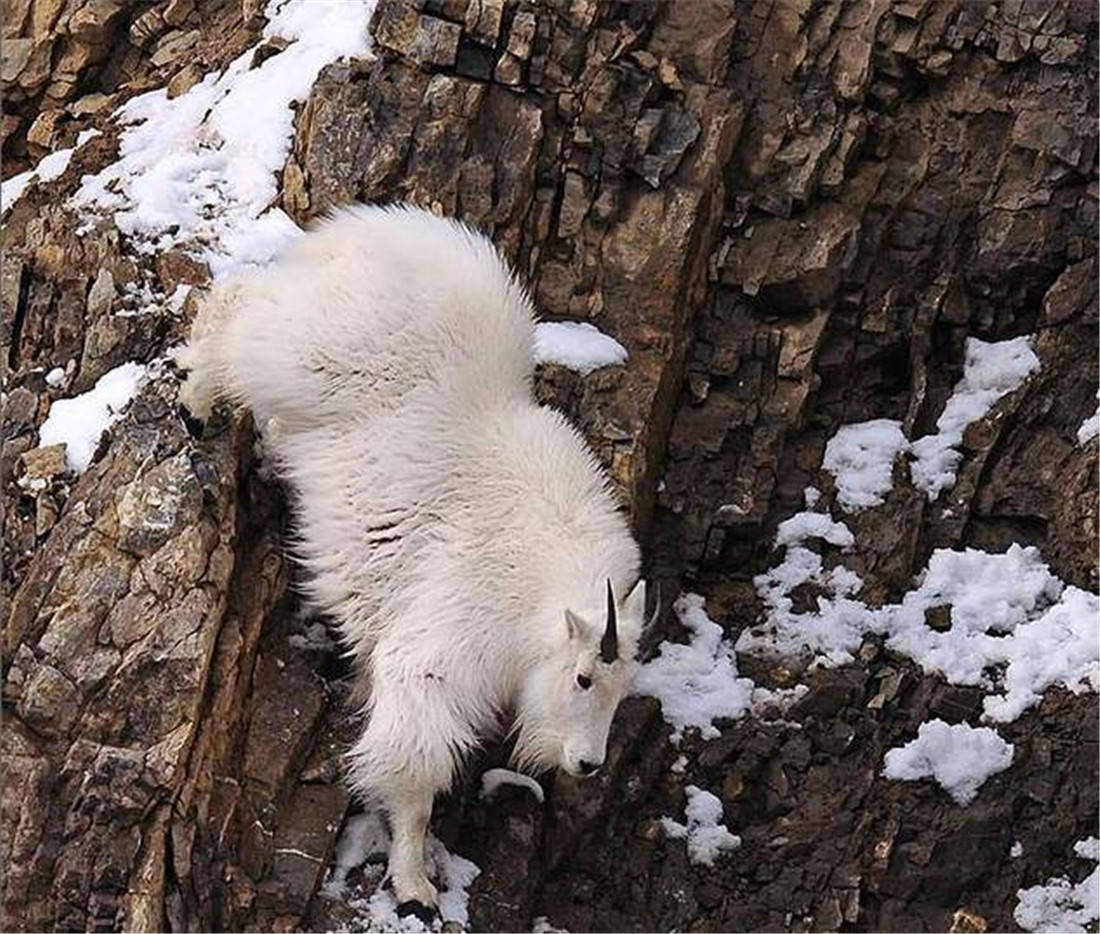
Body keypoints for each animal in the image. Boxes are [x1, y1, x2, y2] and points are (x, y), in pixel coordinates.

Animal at [172, 205, 651, 919]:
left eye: (622, 689)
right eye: (584, 677)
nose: (587, 764)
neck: (539, 591)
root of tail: (370, 231)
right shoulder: (438, 655)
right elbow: (415, 770)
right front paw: (413, 884)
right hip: (309, 353)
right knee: (239, 306)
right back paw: (197, 402)